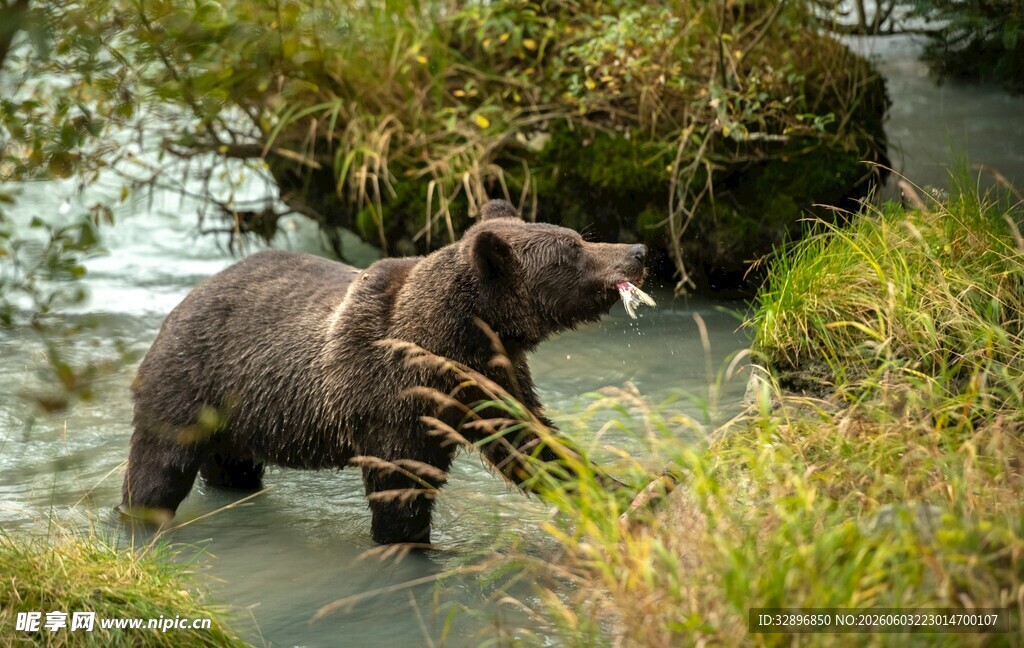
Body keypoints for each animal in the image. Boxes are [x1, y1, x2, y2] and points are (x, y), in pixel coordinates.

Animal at [120, 199, 648, 544]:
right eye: (573, 249)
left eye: (579, 236)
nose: (639, 252)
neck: (453, 340)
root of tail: (185, 300)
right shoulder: (391, 398)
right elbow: (401, 486)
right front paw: (408, 542)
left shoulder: (491, 380)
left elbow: (533, 446)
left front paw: (627, 491)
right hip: (191, 382)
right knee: (158, 469)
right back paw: (136, 517)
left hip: (238, 415)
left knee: (231, 467)